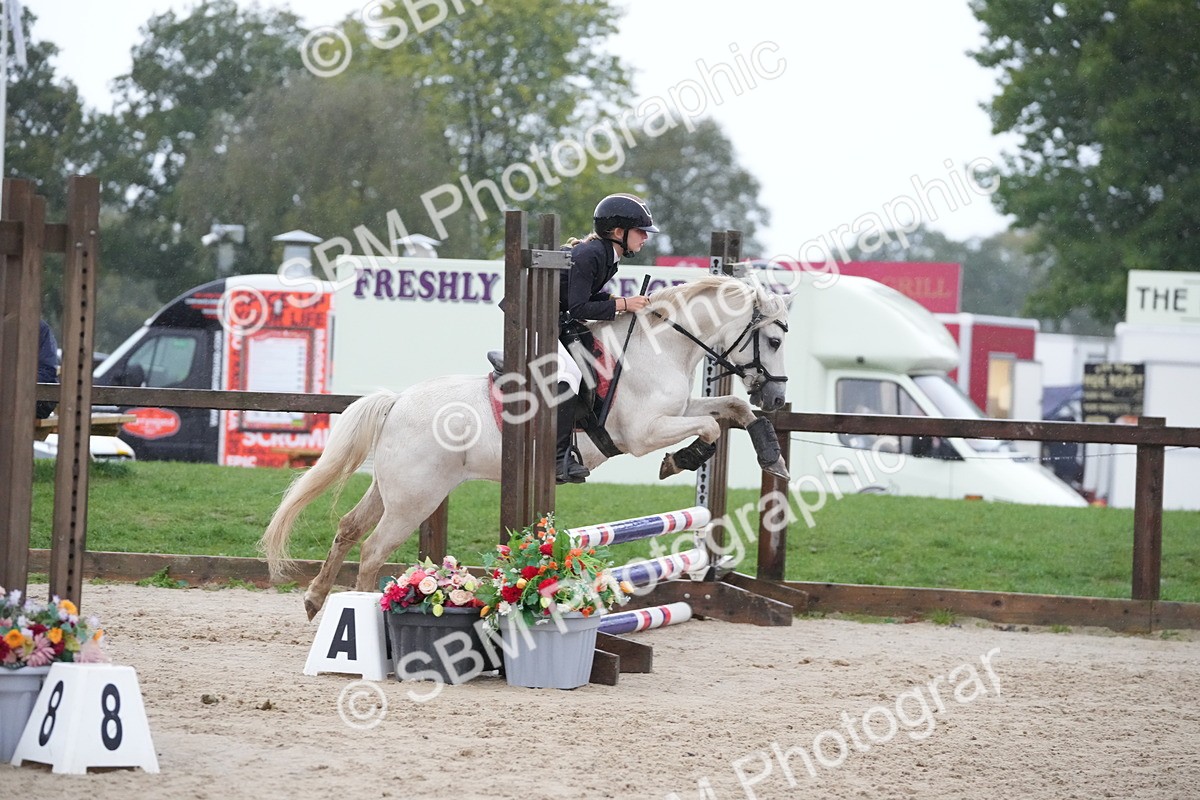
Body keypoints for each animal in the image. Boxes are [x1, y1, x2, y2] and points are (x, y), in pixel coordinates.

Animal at [260, 274, 792, 619]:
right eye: (772, 340)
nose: (777, 398)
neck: (660, 348)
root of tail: (398, 402)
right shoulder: (642, 431)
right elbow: (708, 429)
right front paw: (680, 460)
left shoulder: (679, 408)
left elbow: (731, 410)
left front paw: (773, 455)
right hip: (415, 498)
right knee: (372, 550)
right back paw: (364, 615)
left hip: (395, 489)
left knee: (349, 529)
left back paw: (315, 600)